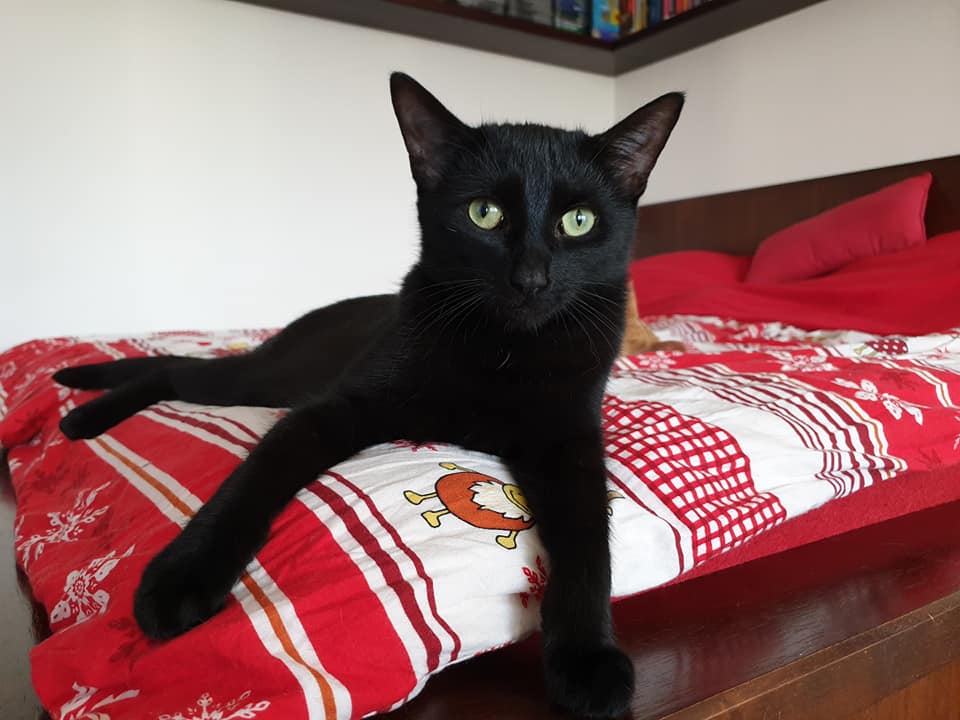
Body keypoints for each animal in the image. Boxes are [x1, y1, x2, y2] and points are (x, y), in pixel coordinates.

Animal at [54, 73, 683, 719]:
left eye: (579, 221)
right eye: (485, 213)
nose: (531, 279)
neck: (504, 350)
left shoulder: (569, 442)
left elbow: (589, 541)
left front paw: (587, 659)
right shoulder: (334, 408)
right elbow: (254, 476)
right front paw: (182, 576)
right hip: (262, 379)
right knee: (179, 371)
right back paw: (82, 413)